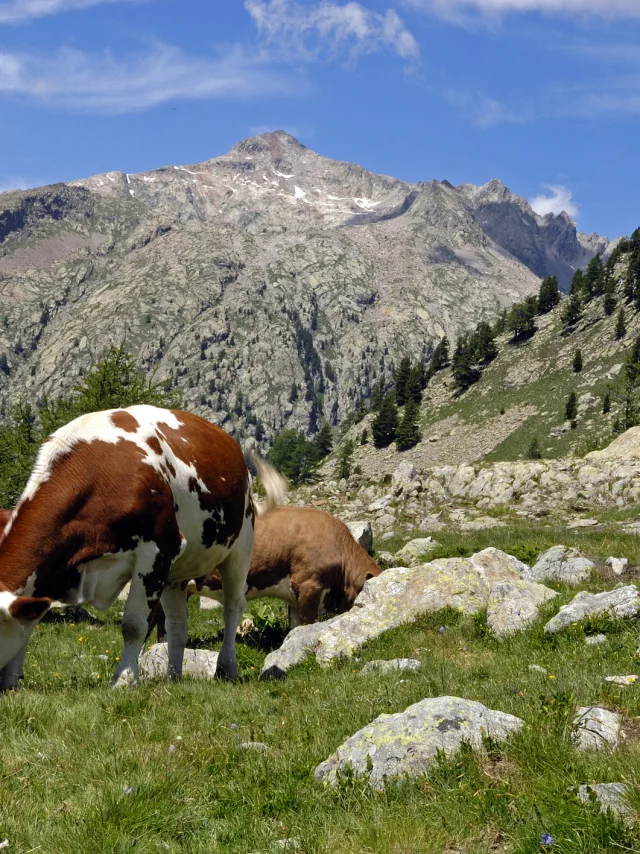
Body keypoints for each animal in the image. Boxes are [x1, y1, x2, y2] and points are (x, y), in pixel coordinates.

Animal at [0, 404, 262, 692]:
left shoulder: (158, 549)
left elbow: (134, 624)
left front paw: (124, 679)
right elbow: (27, 624)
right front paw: (11, 679)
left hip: (240, 547)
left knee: (232, 606)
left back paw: (227, 667)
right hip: (177, 573)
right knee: (177, 623)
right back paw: (173, 676)